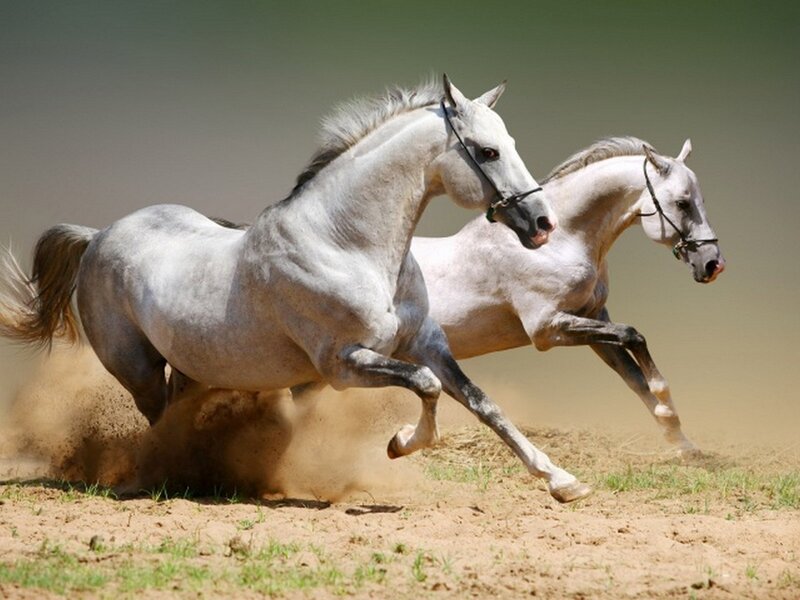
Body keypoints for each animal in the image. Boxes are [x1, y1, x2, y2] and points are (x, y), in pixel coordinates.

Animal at [0, 76, 593, 503]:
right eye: (487, 152)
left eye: (509, 143)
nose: (542, 223)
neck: (346, 244)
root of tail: (98, 235)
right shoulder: (343, 364)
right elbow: (425, 388)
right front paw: (400, 444)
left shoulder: (426, 344)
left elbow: (483, 404)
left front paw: (563, 482)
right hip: (137, 368)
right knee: (157, 420)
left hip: (192, 368)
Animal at [411, 137, 725, 455]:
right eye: (682, 203)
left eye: (701, 201)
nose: (713, 264)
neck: (558, 243)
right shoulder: (547, 329)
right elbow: (633, 335)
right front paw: (666, 405)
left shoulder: (593, 319)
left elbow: (634, 376)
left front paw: (683, 443)